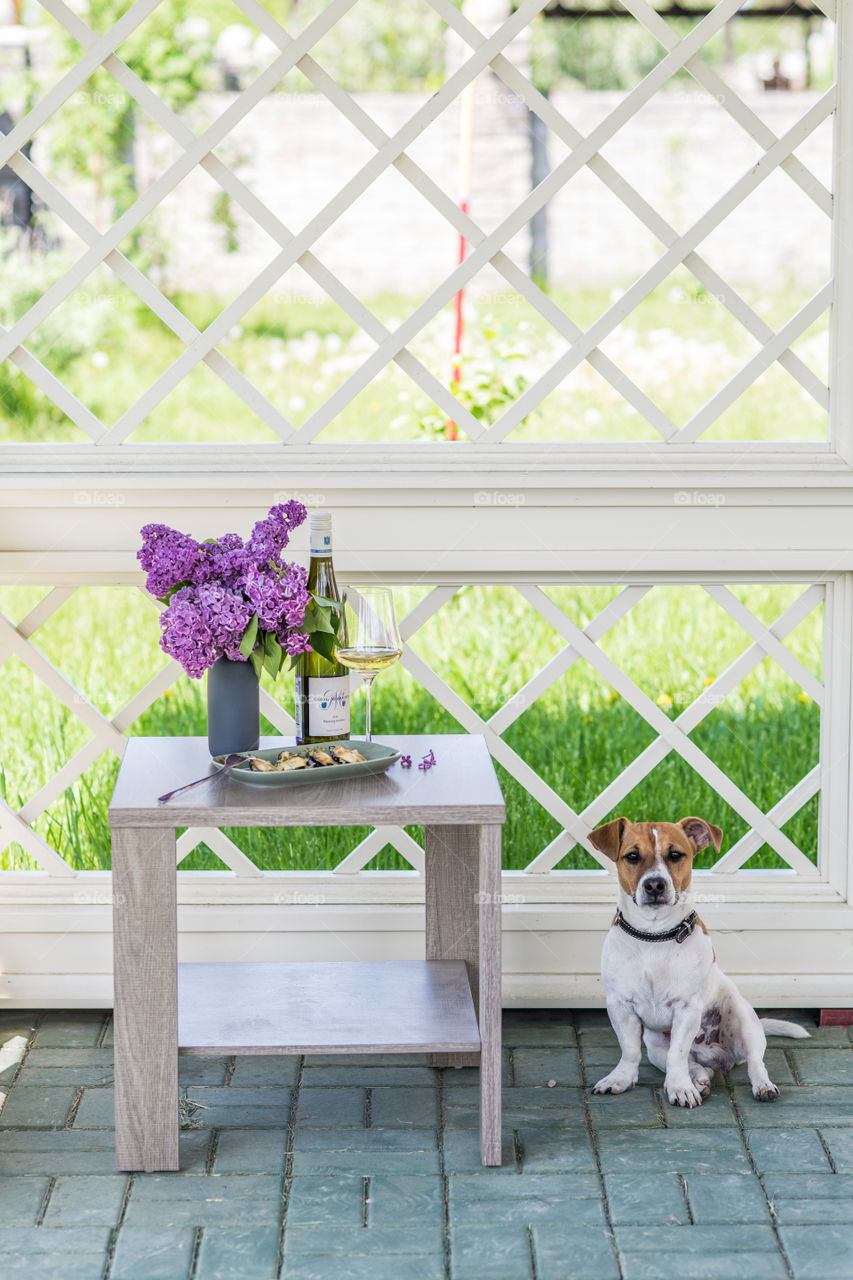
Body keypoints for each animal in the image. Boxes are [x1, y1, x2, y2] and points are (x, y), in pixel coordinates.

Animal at [589, 819, 809, 1111]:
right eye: (632, 856)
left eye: (675, 855)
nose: (655, 885)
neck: (654, 935)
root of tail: (716, 1055)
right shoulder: (619, 1006)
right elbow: (630, 1050)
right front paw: (621, 1079)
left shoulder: (686, 1008)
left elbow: (678, 1054)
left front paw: (681, 1089)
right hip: (656, 1047)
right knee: (694, 1065)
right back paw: (700, 1079)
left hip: (745, 1022)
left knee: (754, 1062)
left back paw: (761, 1086)